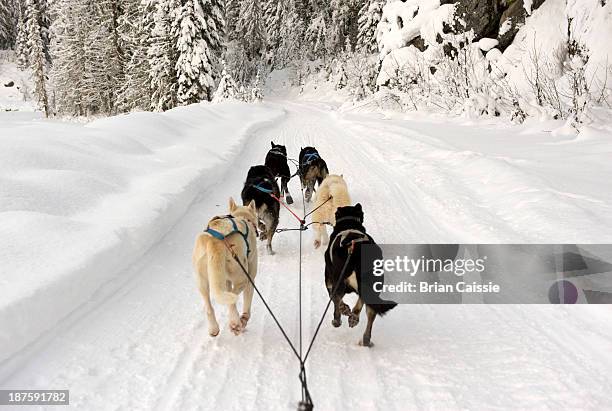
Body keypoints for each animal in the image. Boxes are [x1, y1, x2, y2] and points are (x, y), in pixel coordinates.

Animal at [191, 198, 258, 336]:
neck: (241, 217)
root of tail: (216, 241)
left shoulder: (226, 280)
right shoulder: (251, 276)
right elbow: (247, 304)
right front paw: (244, 318)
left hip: (202, 280)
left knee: (209, 307)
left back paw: (214, 328)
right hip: (242, 276)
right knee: (233, 299)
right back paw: (235, 322)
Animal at [322, 204, 400, 346]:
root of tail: (357, 250)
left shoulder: (329, 281)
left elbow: (334, 299)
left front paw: (339, 316)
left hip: (338, 280)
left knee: (338, 299)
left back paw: (343, 314)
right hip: (372, 284)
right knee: (369, 310)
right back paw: (364, 336)